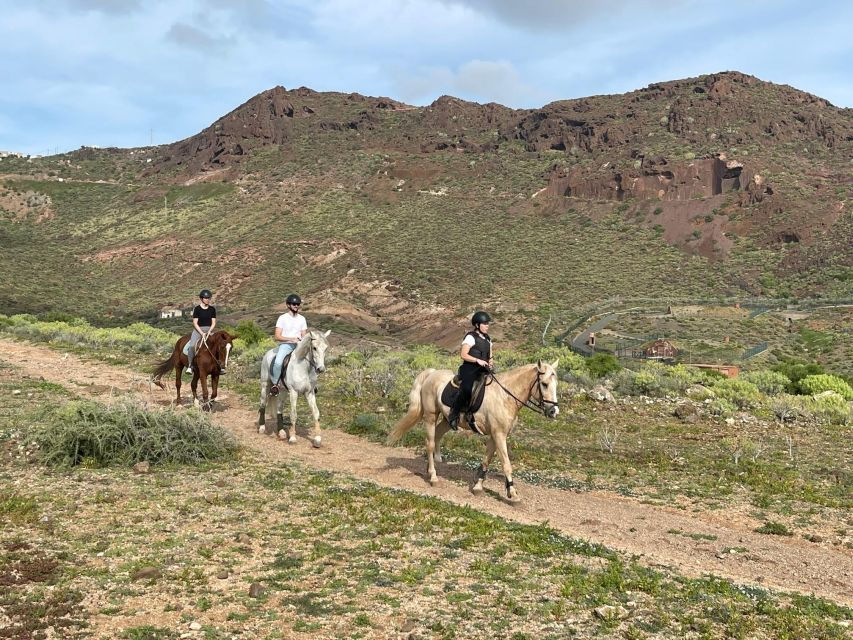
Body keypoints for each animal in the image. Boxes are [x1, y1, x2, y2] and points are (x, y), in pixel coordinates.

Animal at [386, 360, 560, 500]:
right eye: (544, 384)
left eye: (555, 385)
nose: (554, 411)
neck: (505, 396)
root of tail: (432, 373)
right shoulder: (499, 435)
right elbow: (506, 464)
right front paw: (512, 493)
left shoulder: (495, 435)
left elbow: (486, 460)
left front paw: (478, 486)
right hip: (430, 416)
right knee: (429, 443)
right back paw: (433, 477)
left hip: (447, 420)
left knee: (436, 437)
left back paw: (430, 469)